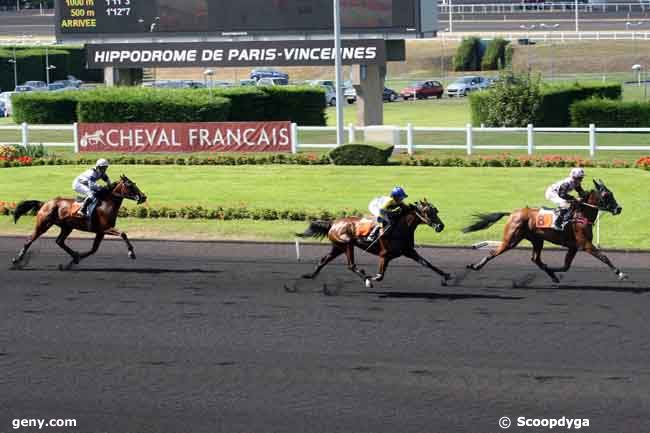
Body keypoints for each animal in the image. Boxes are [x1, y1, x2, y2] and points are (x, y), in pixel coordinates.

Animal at [11, 174, 147, 268]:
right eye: (129, 185)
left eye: (134, 183)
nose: (143, 197)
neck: (106, 204)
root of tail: (45, 203)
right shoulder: (105, 228)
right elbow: (123, 234)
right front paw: (131, 253)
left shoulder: (100, 232)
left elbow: (93, 250)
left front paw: (73, 261)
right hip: (43, 224)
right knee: (29, 240)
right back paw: (16, 260)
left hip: (67, 227)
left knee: (59, 241)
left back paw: (74, 256)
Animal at [294, 199, 450, 286]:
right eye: (427, 212)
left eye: (436, 210)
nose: (441, 226)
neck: (400, 227)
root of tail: (333, 222)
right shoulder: (385, 254)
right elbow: (380, 276)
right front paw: (370, 278)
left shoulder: (408, 251)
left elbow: (427, 263)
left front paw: (446, 276)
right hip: (347, 243)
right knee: (351, 266)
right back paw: (366, 280)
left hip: (338, 247)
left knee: (323, 260)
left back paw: (310, 275)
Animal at [460, 177, 624, 282]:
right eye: (606, 195)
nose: (619, 209)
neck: (580, 214)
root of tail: (512, 213)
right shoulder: (585, 244)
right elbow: (604, 257)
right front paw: (620, 273)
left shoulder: (573, 246)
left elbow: (566, 266)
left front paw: (552, 271)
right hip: (511, 239)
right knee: (494, 252)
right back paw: (475, 266)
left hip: (537, 240)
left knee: (536, 259)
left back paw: (551, 275)